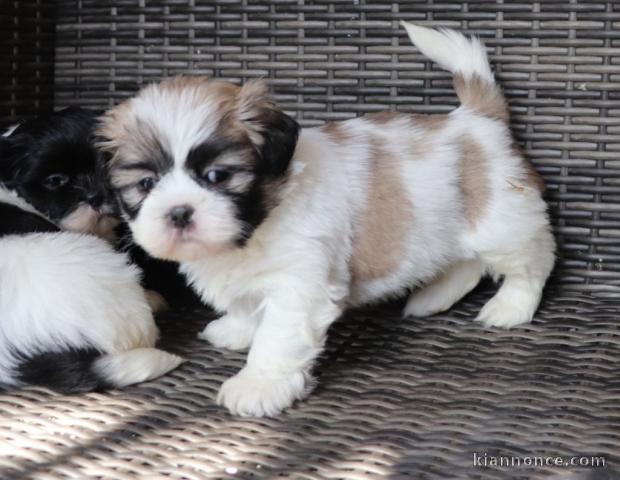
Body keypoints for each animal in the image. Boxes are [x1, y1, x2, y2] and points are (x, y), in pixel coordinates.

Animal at [98, 23, 556, 416]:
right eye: (145, 183)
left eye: (217, 176)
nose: (178, 211)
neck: (260, 222)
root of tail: (477, 119)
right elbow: (248, 307)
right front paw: (238, 329)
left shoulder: (299, 284)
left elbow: (277, 337)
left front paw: (258, 385)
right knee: (466, 264)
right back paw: (432, 298)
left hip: (503, 222)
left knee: (532, 261)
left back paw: (511, 306)